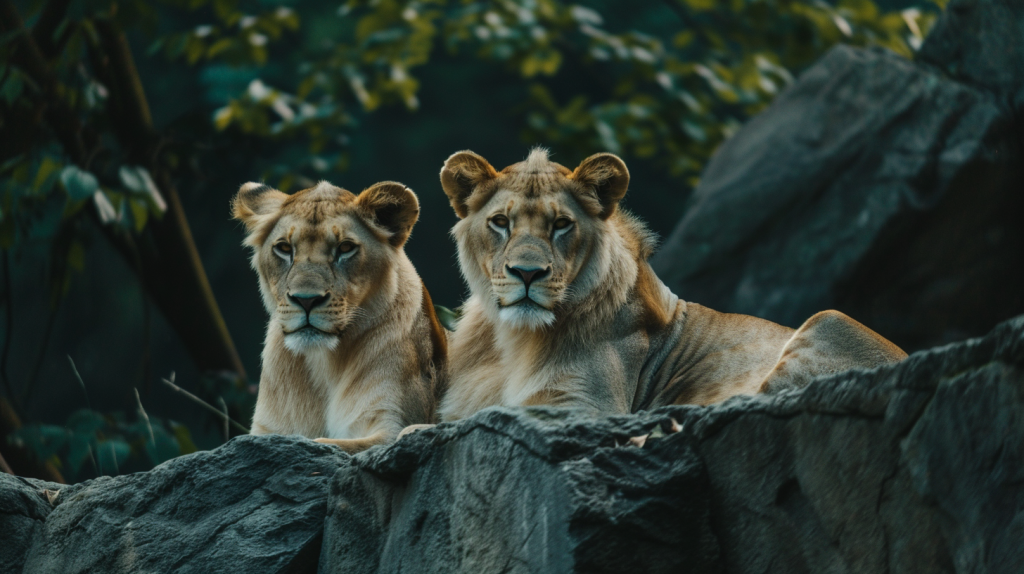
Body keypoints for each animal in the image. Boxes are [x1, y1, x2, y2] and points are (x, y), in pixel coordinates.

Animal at [234, 180, 446, 452]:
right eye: (284, 248)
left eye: (345, 248)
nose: (306, 300)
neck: (324, 363)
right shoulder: (265, 430)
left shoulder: (391, 424)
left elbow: (324, 443)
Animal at [432, 146, 905, 415]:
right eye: (500, 222)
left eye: (561, 225)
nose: (527, 273)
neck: (512, 339)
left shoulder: (587, 406)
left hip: (830, 321)